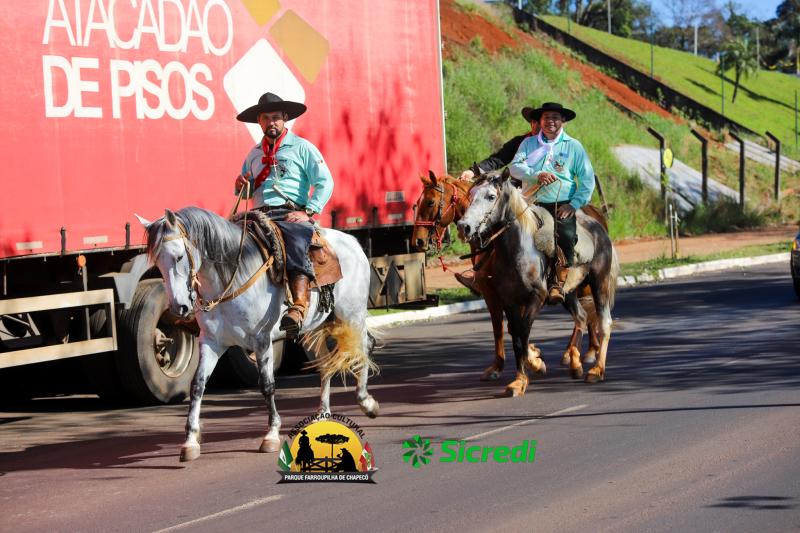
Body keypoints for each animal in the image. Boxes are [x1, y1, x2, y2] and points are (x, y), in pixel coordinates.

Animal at [139, 207, 379, 462]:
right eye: (158, 263)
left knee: (363, 347)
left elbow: (267, 384)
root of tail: (352, 242)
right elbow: (197, 385)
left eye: (178, 257)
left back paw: (366, 402)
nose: (179, 308)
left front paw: (271, 435)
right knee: (325, 363)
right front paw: (190, 441)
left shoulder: (261, 339)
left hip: (352, 314)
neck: (230, 279)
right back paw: (323, 413)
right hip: (313, 329)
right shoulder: (211, 342)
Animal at [456, 169, 618, 396]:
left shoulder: (536, 298)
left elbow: (523, 332)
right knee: (581, 316)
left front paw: (532, 367)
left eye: (491, 196)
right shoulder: (509, 301)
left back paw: (596, 370)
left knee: (604, 322)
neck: (516, 252)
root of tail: (599, 227)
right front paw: (521, 378)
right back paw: (575, 363)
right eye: (470, 194)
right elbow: (515, 336)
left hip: (598, 282)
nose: (464, 227)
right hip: (568, 292)